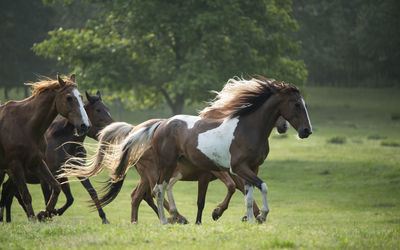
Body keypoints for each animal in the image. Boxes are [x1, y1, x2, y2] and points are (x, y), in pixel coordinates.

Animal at [0, 73, 89, 221]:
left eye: (81, 97)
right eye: (69, 98)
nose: (84, 125)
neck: (25, 126)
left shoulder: (36, 162)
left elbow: (56, 187)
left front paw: (44, 213)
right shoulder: (15, 165)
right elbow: (26, 196)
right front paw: (34, 219)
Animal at [0, 91, 114, 223]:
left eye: (108, 109)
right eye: (98, 110)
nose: (113, 128)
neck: (63, 143)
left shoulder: (72, 172)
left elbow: (82, 195)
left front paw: (104, 218)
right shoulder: (46, 177)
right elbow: (49, 197)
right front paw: (47, 214)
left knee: (9, 192)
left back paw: (9, 218)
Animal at [62, 76, 312, 225]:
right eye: (296, 104)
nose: (306, 131)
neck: (247, 128)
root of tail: (160, 124)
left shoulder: (251, 168)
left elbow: (249, 194)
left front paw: (251, 220)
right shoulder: (237, 168)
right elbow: (262, 187)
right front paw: (261, 215)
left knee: (151, 192)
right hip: (165, 166)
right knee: (156, 191)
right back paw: (167, 221)